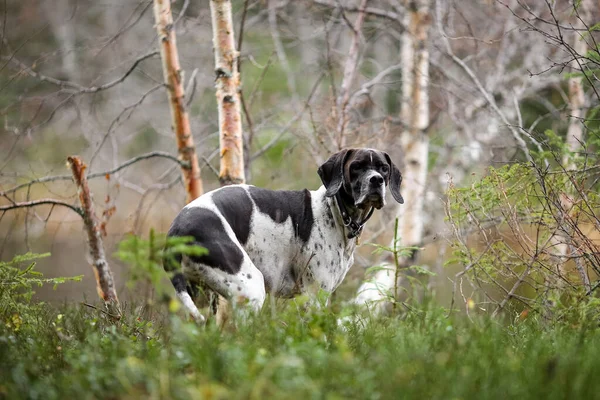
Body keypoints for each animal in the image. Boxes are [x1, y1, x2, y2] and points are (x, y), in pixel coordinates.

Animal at [165, 149, 404, 322]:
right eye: (356, 167)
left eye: (383, 168)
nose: (376, 180)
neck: (335, 211)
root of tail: (176, 231)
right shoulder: (314, 297)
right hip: (251, 288)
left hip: (206, 299)